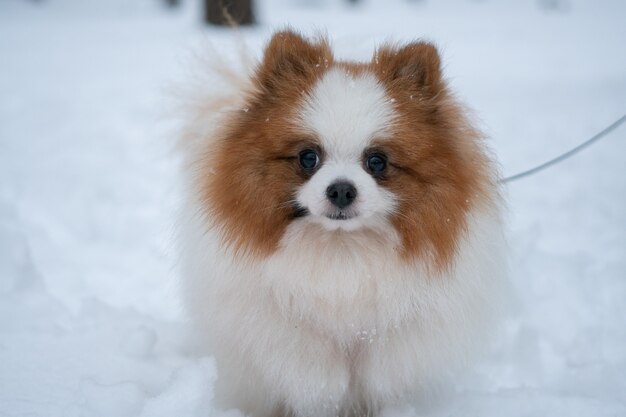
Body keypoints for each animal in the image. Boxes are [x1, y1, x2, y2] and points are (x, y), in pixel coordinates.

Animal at [177, 30, 508, 416]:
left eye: (377, 161)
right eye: (308, 157)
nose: (341, 190)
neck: (342, 251)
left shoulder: (386, 353)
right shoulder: (291, 342)